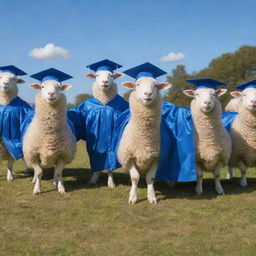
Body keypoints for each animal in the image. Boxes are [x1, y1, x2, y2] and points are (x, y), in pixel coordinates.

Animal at [117, 76, 170, 204]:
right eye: (138, 85)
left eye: (156, 86)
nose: (148, 93)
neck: (145, 138)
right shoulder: (129, 157)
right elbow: (135, 177)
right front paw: (133, 197)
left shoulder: (156, 157)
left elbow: (150, 178)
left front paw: (152, 197)